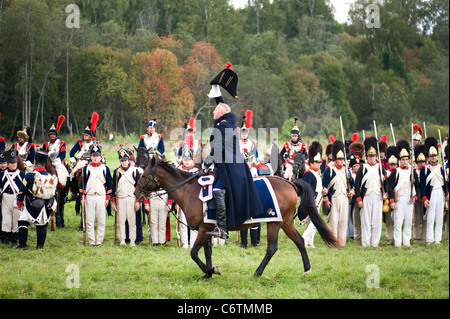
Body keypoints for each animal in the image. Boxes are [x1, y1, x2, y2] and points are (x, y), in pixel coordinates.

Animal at [135, 156, 340, 278]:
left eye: (144, 175)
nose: (136, 193)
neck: (191, 191)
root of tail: (289, 183)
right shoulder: (207, 230)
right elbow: (207, 253)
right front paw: (208, 273)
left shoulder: (203, 230)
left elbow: (193, 253)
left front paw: (211, 270)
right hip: (286, 222)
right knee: (299, 241)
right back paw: (307, 269)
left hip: (274, 223)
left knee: (272, 248)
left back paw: (257, 272)